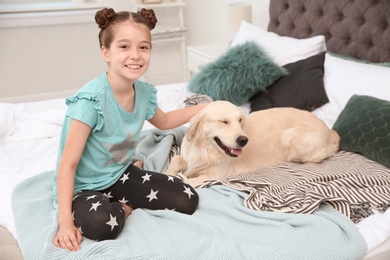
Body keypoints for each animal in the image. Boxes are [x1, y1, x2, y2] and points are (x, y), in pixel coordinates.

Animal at [166, 100, 340, 187]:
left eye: (240, 120)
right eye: (224, 121)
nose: (243, 140)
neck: (206, 150)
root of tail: (329, 130)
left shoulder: (215, 175)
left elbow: (187, 181)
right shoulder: (186, 156)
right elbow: (176, 160)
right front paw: (168, 173)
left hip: (290, 137)